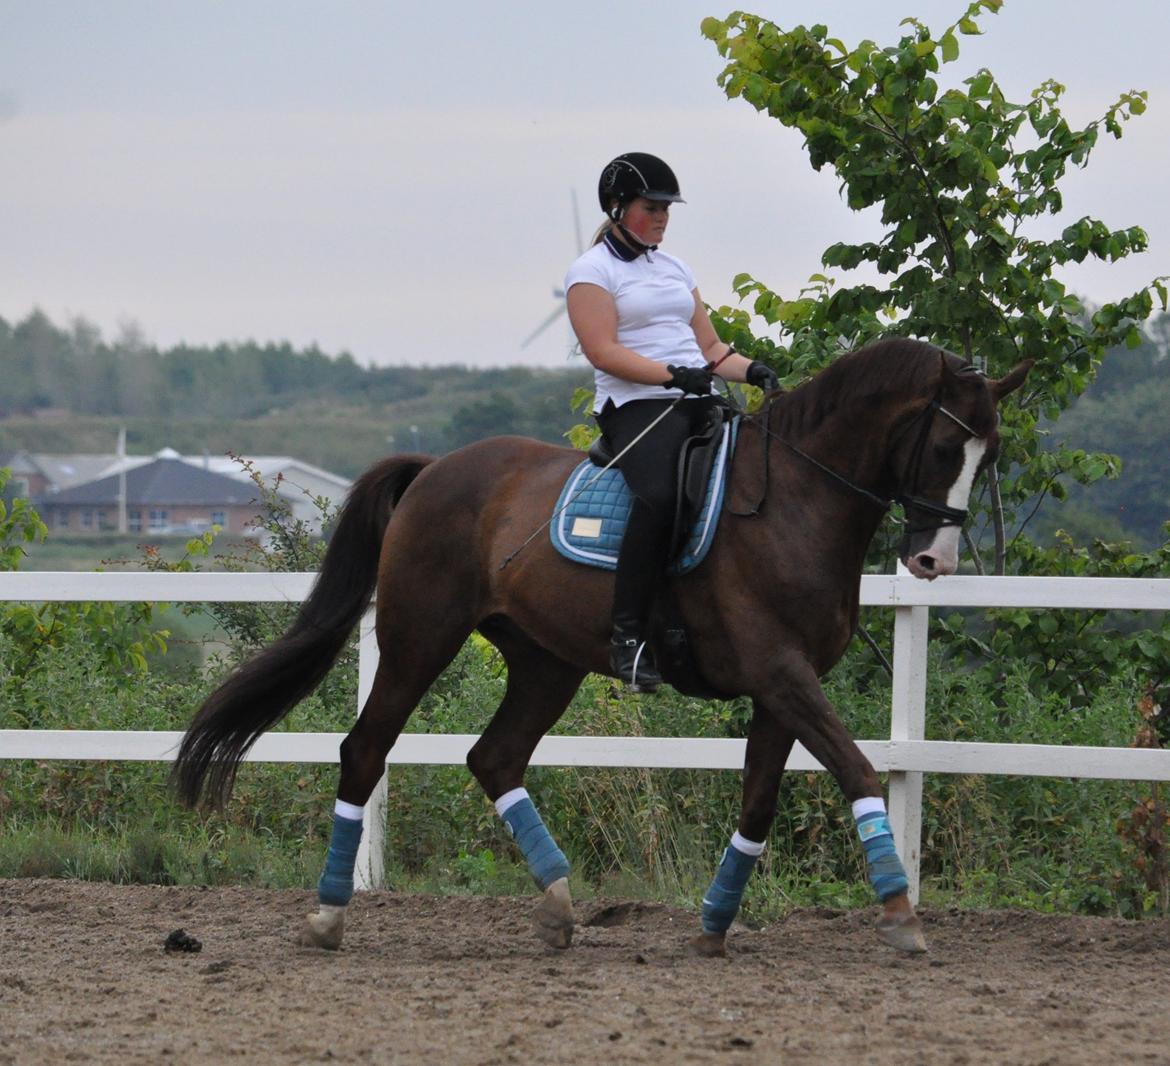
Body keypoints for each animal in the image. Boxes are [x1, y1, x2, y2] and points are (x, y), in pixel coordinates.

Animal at [173, 339, 1034, 959]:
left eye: (988, 457)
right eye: (942, 450)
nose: (933, 563)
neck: (794, 499)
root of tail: (434, 468)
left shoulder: (780, 686)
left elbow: (758, 801)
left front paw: (713, 925)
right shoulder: (781, 674)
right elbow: (856, 768)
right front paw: (899, 910)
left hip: (545, 662)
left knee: (494, 757)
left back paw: (557, 909)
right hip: (420, 638)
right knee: (365, 750)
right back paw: (327, 919)